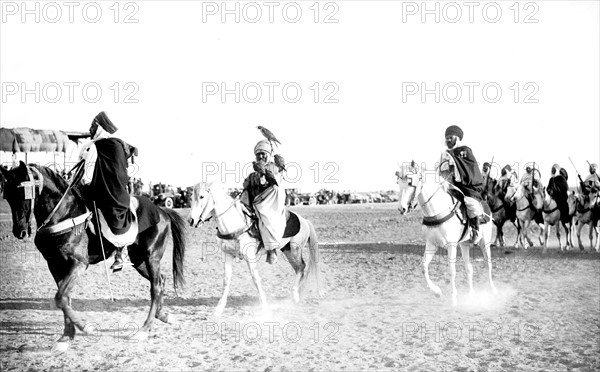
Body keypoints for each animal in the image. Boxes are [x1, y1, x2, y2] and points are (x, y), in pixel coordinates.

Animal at [0, 163, 186, 352]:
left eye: (22, 192)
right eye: (7, 195)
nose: (20, 231)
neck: (64, 214)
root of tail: (162, 210)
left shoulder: (79, 263)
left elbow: (60, 297)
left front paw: (86, 328)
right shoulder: (55, 265)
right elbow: (65, 298)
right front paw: (66, 336)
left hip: (151, 257)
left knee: (155, 287)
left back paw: (144, 329)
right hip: (139, 261)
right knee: (161, 280)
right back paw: (162, 315)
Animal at [190, 182, 326, 316]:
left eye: (201, 196)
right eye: (191, 197)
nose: (191, 220)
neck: (235, 224)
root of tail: (304, 221)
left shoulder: (250, 257)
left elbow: (256, 279)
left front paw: (264, 306)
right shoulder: (227, 255)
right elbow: (226, 280)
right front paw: (219, 308)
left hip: (295, 249)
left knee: (301, 267)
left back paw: (295, 294)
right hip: (287, 250)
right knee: (299, 269)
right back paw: (296, 295)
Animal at [398, 164, 496, 306]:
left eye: (411, 183)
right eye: (398, 183)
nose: (402, 209)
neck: (437, 210)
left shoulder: (451, 245)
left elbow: (451, 270)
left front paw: (453, 298)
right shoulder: (432, 244)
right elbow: (424, 266)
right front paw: (436, 292)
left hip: (485, 242)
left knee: (488, 264)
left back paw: (493, 290)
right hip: (464, 244)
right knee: (469, 268)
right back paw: (471, 295)